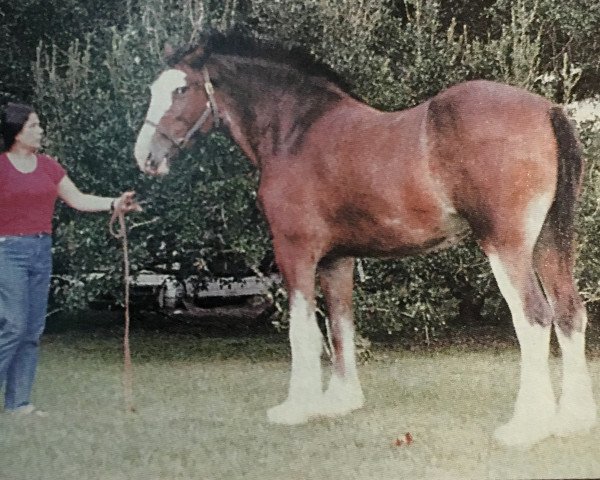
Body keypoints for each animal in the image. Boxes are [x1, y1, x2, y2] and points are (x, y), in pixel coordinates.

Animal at [134, 31, 596, 448]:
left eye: (181, 88)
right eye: (153, 88)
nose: (145, 157)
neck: (296, 132)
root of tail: (547, 110)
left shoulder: (295, 252)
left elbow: (303, 331)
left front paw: (296, 407)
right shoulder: (337, 259)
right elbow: (340, 325)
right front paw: (340, 401)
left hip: (506, 244)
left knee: (534, 317)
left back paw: (525, 428)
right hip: (550, 241)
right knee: (569, 312)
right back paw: (572, 421)